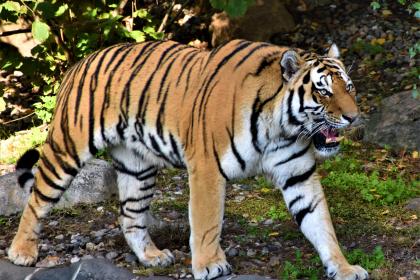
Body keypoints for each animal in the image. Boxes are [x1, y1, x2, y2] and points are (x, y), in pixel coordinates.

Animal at [9, 40, 368, 280]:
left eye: (349, 87)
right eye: (323, 91)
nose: (353, 117)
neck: (282, 127)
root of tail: (79, 63)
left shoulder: (298, 175)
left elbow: (321, 223)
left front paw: (344, 268)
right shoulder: (207, 168)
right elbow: (207, 222)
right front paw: (210, 265)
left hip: (138, 169)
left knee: (129, 216)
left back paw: (152, 257)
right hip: (67, 148)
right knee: (37, 200)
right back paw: (21, 252)